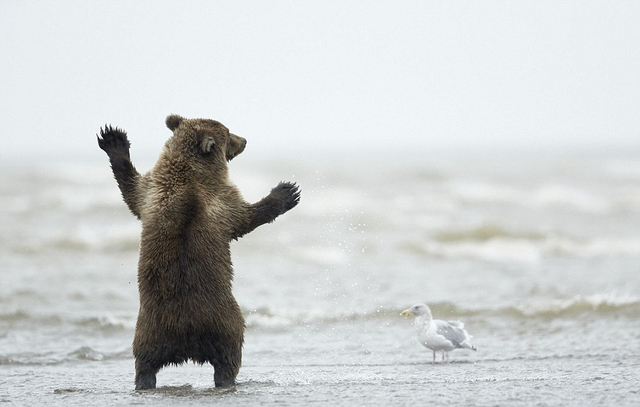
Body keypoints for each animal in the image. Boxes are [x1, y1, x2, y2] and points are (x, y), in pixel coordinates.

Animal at [97, 114, 300, 388]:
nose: (244, 140)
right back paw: (228, 379)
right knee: (229, 357)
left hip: (150, 330)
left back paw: (143, 382)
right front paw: (287, 192)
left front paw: (113, 139)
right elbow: (246, 217)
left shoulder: (153, 193)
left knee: (144, 362)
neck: (188, 173)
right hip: (224, 322)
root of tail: (186, 339)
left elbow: (131, 189)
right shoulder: (221, 202)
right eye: (228, 133)